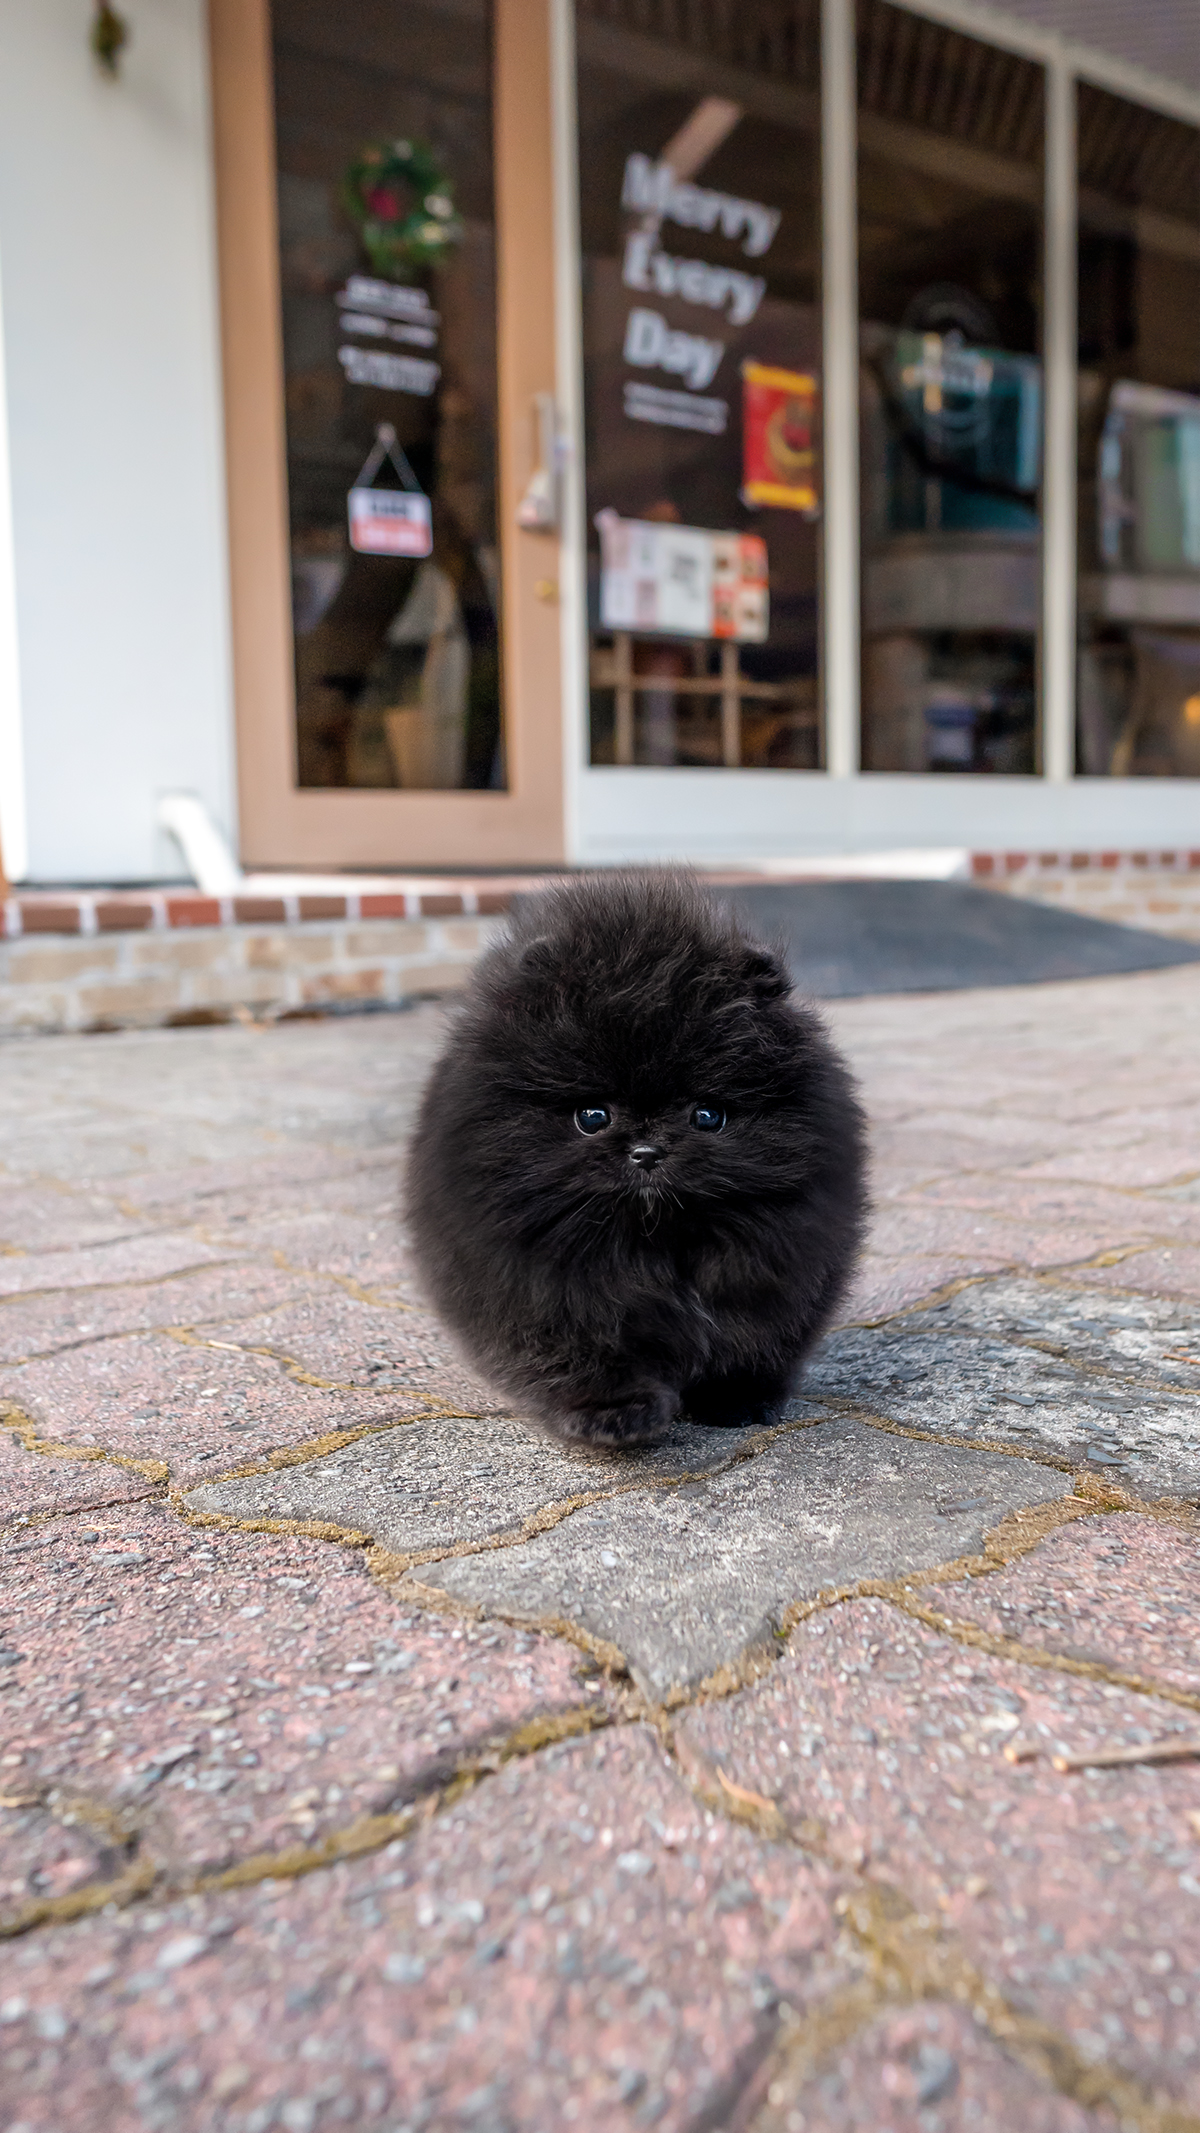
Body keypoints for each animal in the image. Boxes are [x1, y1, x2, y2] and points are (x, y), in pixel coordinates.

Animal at [409, 870, 869, 1450]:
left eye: (707, 1116)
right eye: (592, 1116)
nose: (647, 1152)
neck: (652, 1239)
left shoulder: (778, 1268)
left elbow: (752, 1342)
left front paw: (735, 1401)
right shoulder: (547, 1290)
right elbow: (587, 1356)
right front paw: (617, 1416)